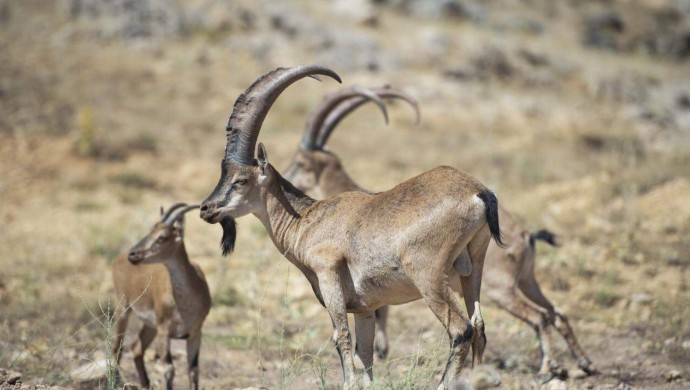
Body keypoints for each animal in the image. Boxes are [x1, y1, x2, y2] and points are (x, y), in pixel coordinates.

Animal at [199, 65, 500, 388]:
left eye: (241, 180)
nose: (206, 209)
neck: (306, 219)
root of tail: (478, 192)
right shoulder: (366, 308)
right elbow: (364, 354)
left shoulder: (329, 275)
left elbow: (341, 337)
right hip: (473, 267)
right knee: (479, 326)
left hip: (428, 274)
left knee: (461, 329)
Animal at [280, 83, 592, 380]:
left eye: (300, 162)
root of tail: (526, 235)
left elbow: (379, 313)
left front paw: (382, 349)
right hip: (525, 281)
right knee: (556, 313)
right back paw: (583, 363)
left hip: (495, 287)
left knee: (538, 318)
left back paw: (545, 369)